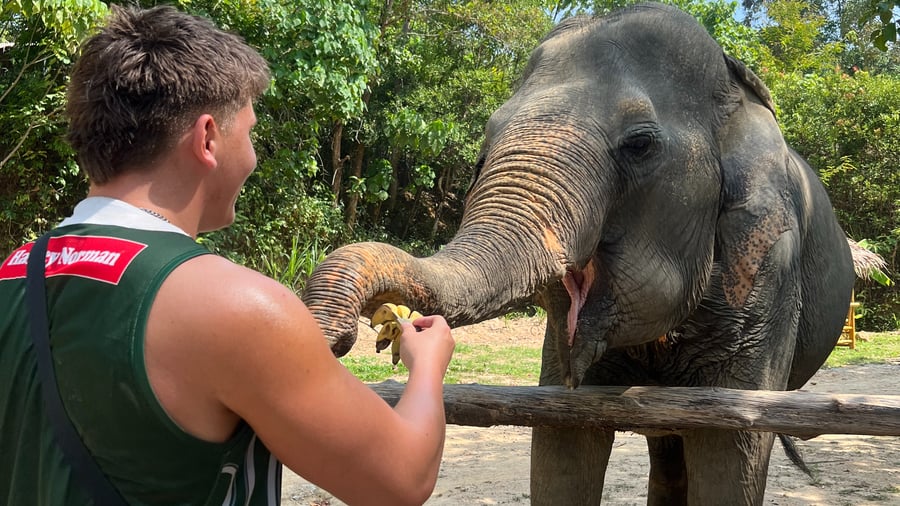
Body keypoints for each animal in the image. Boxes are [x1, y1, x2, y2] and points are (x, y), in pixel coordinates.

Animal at [301, 3, 855, 504]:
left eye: (640, 144)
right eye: (486, 143)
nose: (339, 336)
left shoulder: (766, 271)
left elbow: (731, 450)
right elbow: (562, 438)